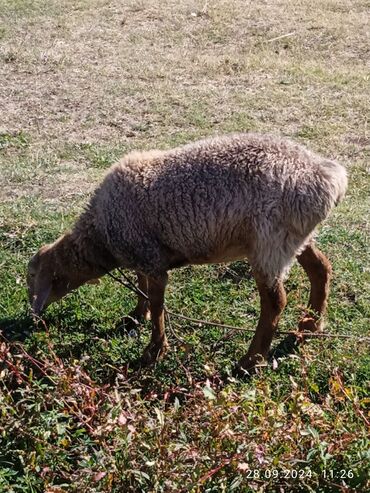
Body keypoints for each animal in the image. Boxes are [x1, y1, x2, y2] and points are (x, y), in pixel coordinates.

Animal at [26, 133, 346, 370]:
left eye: (33, 278)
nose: (33, 316)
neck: (102, 235)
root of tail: (328, 178)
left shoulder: (150, 258)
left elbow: (157, 303)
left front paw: (154, 350)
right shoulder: (145, 254)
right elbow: (142, 288)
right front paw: (135, 316)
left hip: (269, 242)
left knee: (275, 302)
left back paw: (250, 360)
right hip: (293, 238)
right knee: (321, 268)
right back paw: (310, 325)